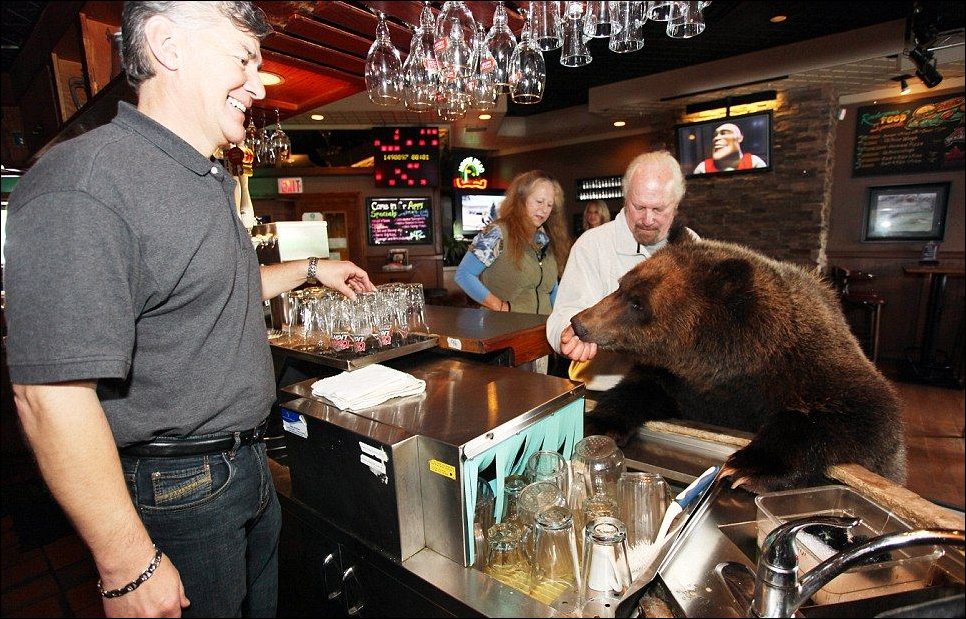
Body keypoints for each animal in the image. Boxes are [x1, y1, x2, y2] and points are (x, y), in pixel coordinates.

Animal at [572, 228, 904, 494]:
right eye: (621, 284)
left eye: (637, 303)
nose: (580, 323)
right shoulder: (685, 385)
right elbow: (640, 388)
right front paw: (600, 422)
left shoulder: (809, 368)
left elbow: (863, 415)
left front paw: (748, 466)